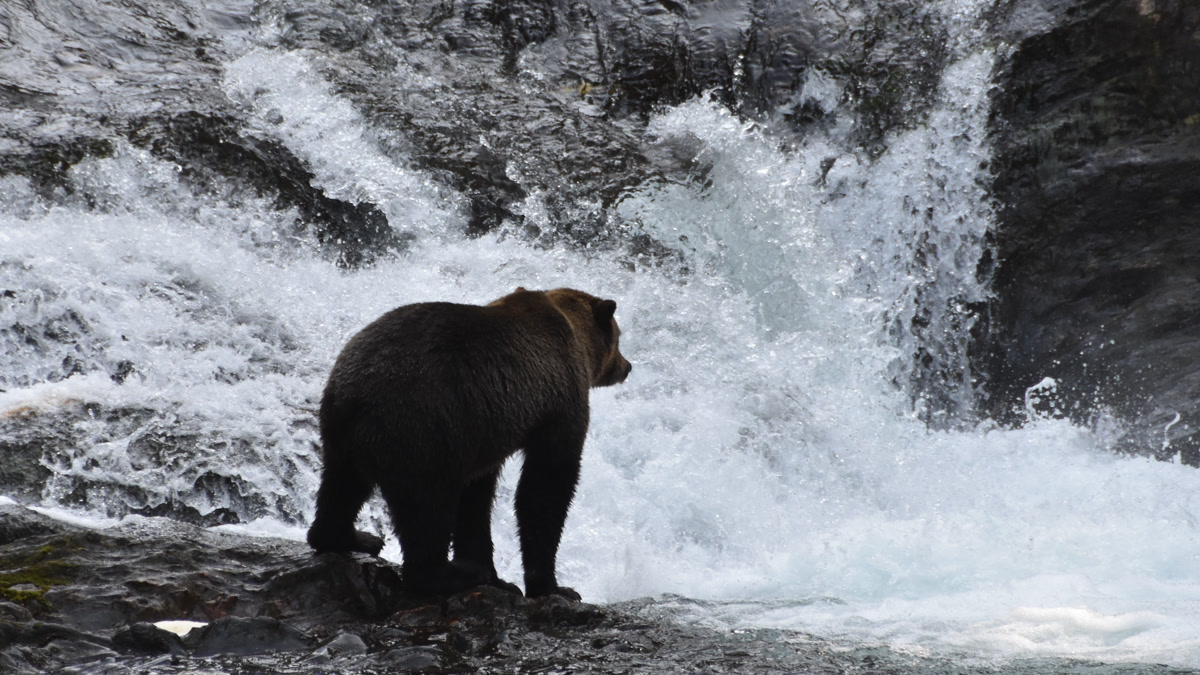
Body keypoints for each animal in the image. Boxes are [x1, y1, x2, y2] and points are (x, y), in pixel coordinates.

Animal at [306, 287, 631, 600]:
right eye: (619, 337)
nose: (627, 366)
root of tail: (356, 395)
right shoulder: (558, 403)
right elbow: (545, 487)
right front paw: (554, 587)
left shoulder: (483, 432)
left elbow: (476, 499)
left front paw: (494, 573)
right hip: (420, 429)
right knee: (428, 509)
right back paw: (451, 575)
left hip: (341, 430)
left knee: (341, 486)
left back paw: (353, 537)